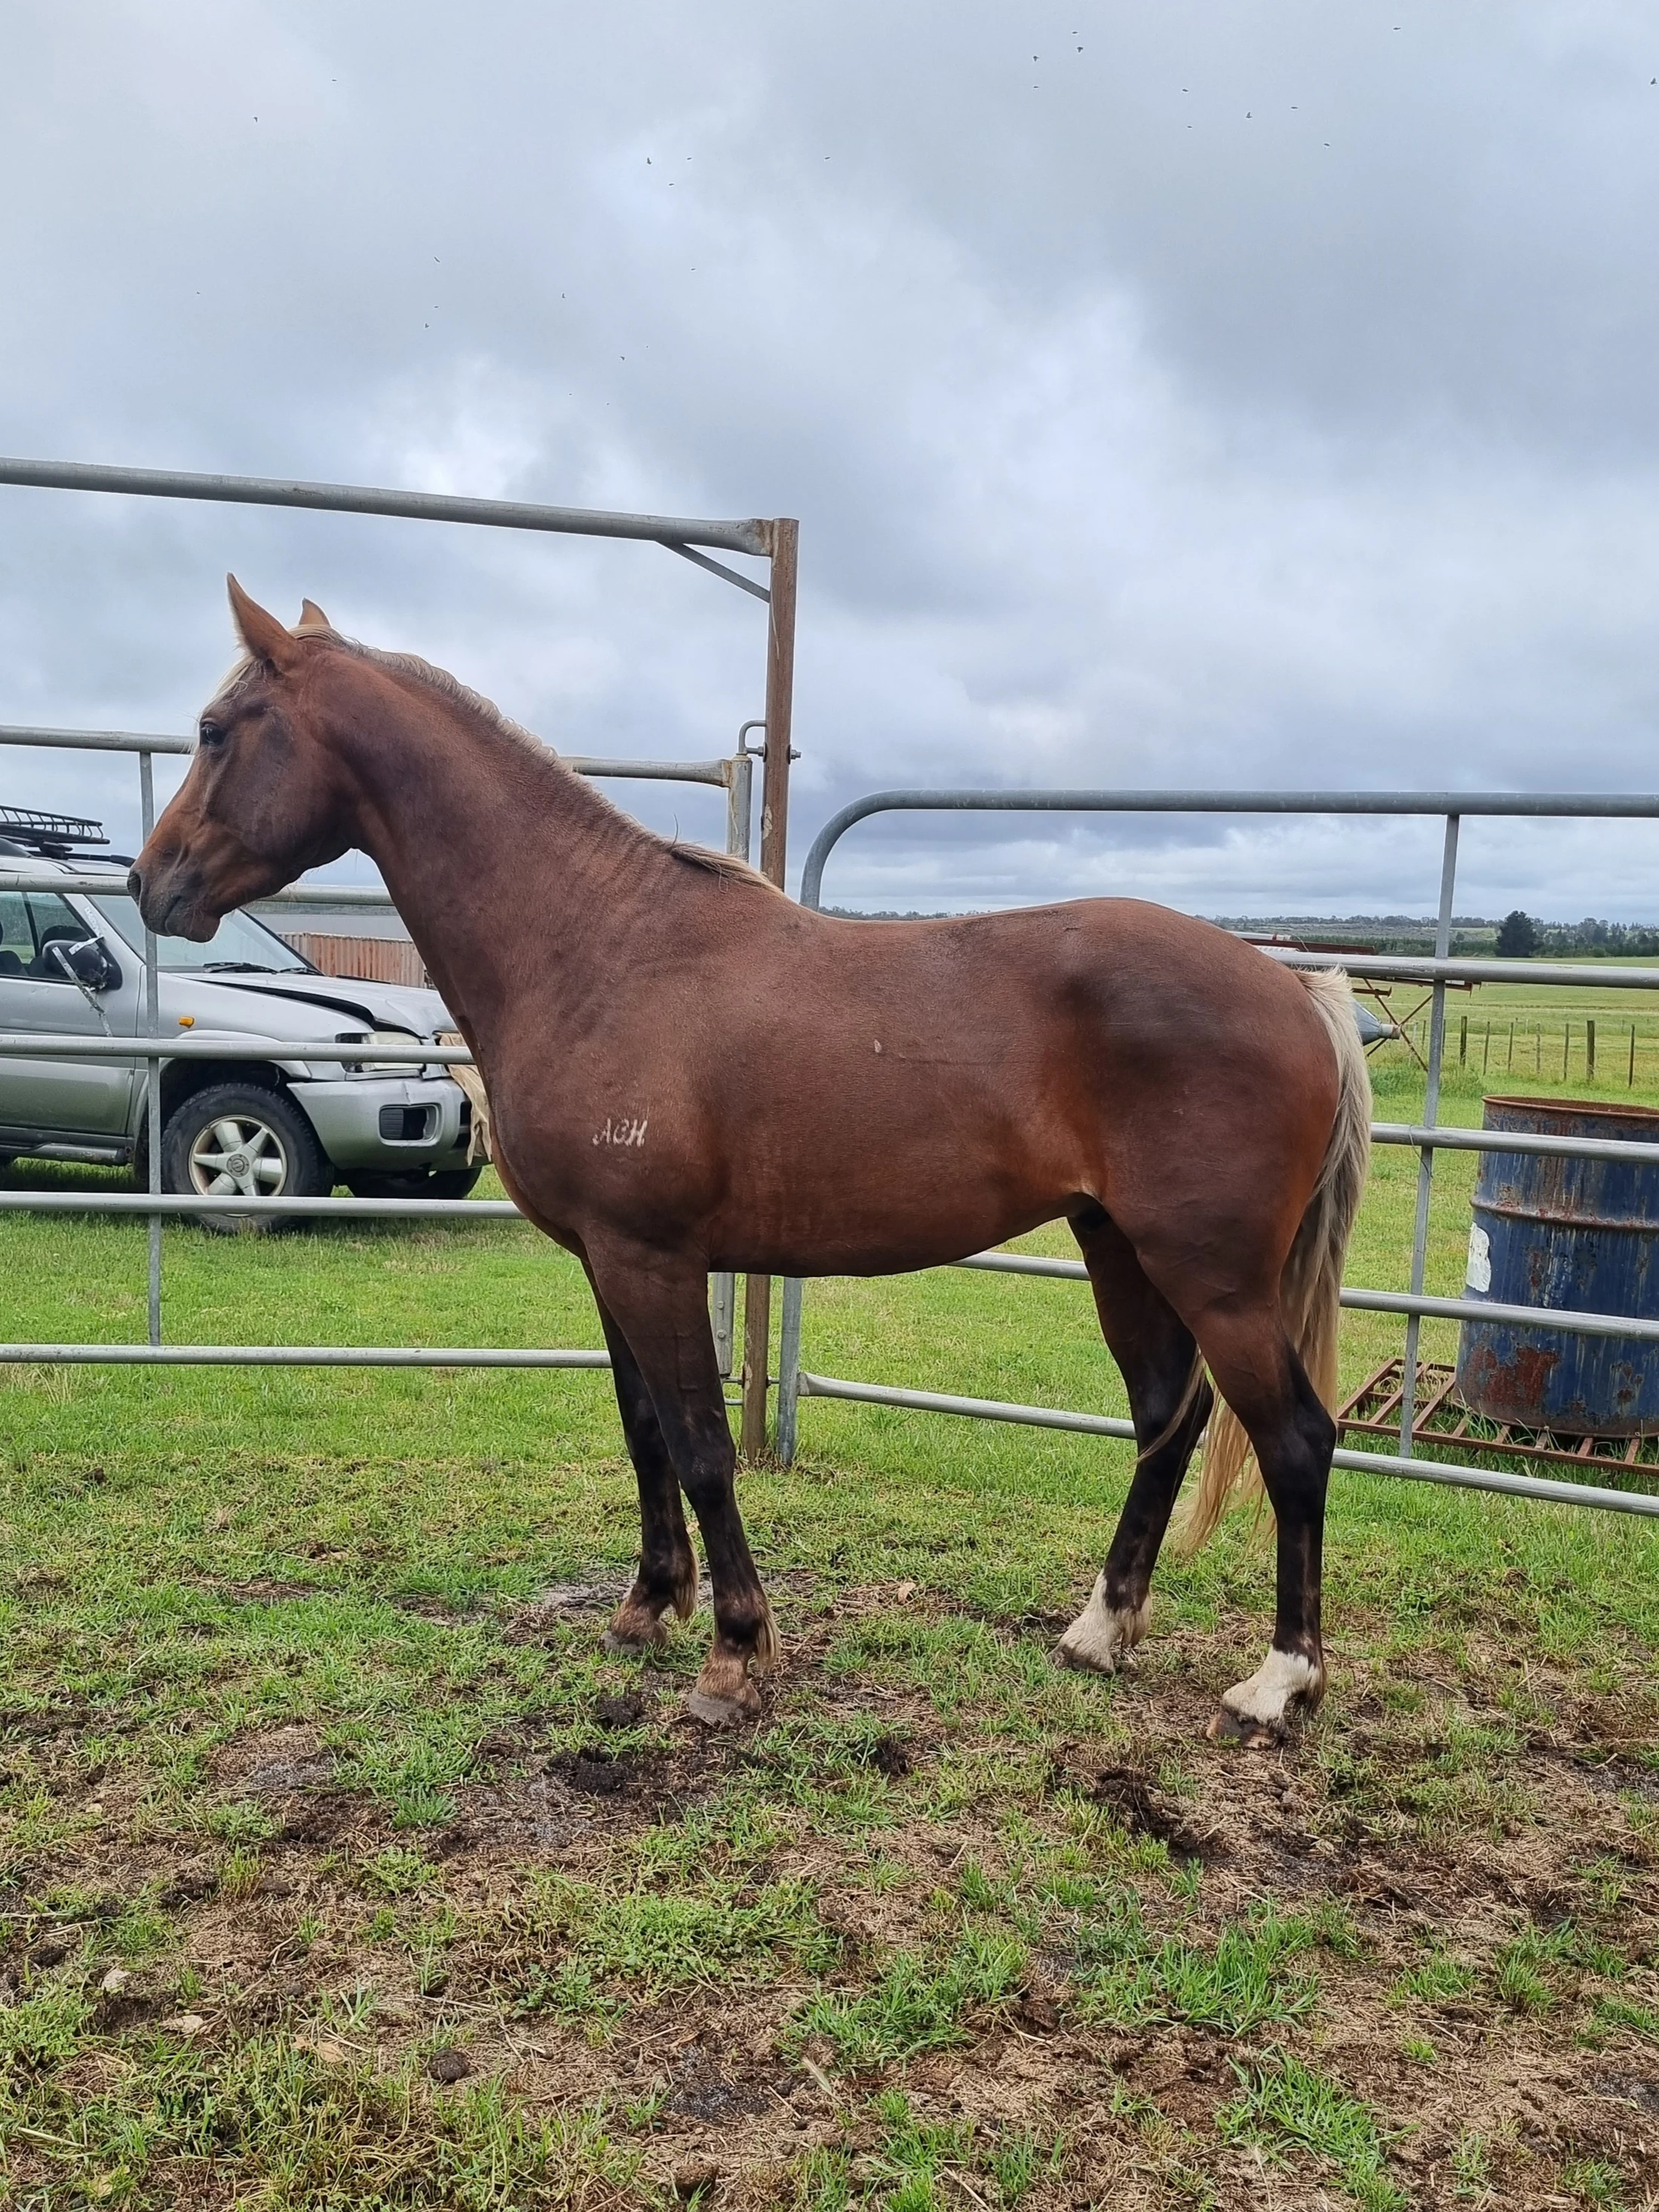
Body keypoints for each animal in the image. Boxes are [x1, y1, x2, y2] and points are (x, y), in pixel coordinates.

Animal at [131, 579, 1371, 1745]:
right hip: (1121, 1249)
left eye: (216, 729)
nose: (153, 884)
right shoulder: (606, 1261)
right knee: (1169, 1415)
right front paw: (647, 1606)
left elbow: (701, 1446)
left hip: (1213, 1275)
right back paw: (1099, 1633)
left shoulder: (655, 1259)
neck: (593, 949)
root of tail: (1295, 987)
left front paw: (733, 1658)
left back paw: (1279, 1684)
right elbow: (643, 1432)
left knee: (1294, 1440)